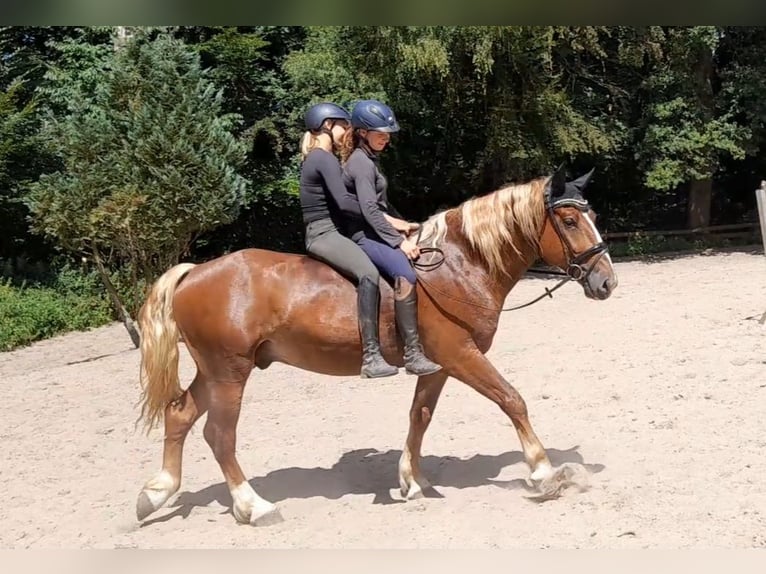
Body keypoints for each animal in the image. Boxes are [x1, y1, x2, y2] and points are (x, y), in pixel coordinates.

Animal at [133, 165, 618, 526]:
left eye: (592, 217)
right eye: (570, 221)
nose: (607, 282)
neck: (460, 266)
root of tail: (194, 272)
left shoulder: (438, 365)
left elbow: (420, 416)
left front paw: (412, 481)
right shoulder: (462, 355)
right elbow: (512, 400)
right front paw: (544, 472)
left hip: (215, 372)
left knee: (179, 415)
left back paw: (156, 494)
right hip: (230, 372)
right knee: (219, 435)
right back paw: (254, 506)